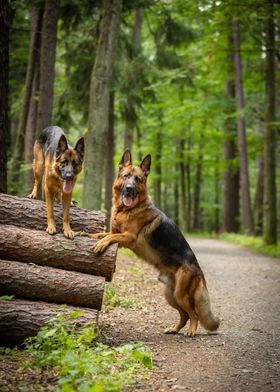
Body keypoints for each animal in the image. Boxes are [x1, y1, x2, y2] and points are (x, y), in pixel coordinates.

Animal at [88, 150, 220, 336]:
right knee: (184, 315)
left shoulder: (128, 238)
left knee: (193, 314)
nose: (129, 188)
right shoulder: (116, 233)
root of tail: (199, 270)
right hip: (171, 296)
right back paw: (174, 329)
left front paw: (100, 244)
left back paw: (191, 331)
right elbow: (102, 234)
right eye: (126, 176)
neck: (127, 209)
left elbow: (108, 237)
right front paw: (86, 233)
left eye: (138, 179)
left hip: (180, 295)